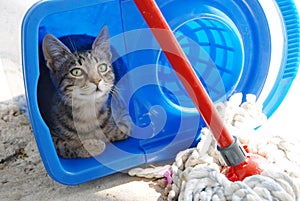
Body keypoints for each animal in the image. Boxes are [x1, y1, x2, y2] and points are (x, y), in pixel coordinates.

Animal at [42, 26, 131, 159]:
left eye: (102, 67)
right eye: (76, 72)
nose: (97, 80)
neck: (88, 109)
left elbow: (124, 127)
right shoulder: (53, 136)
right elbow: (64, 145)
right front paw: (91, 145)